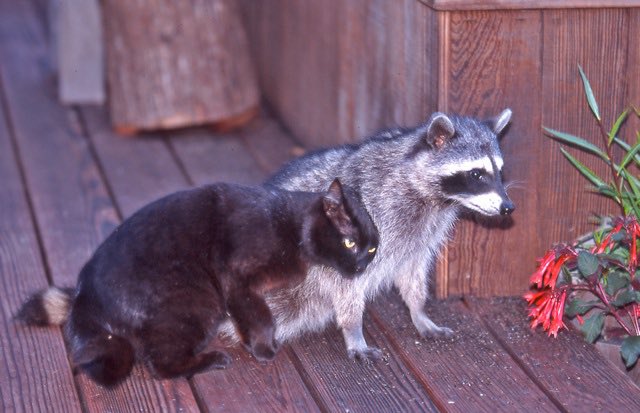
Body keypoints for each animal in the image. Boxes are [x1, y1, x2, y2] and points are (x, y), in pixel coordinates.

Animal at [261, 109, 515, 360]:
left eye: (500, 172)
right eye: (476, 174)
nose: (508, 207)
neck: (432, 199)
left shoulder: (419, 236)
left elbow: (412, 270)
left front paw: (418, 311)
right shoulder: (367, 221)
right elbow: (344, 283)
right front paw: (353, 331)